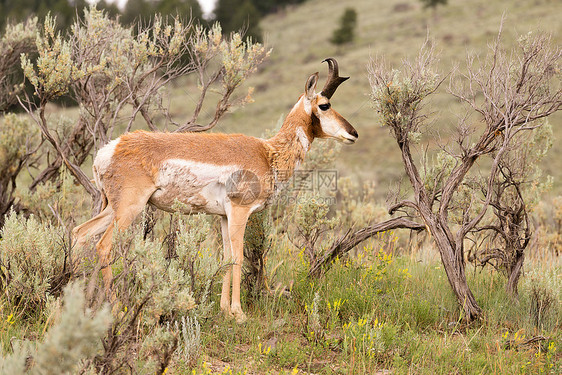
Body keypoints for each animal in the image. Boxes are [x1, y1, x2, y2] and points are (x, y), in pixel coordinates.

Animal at [72, 58, 356, 324]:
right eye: (325, 105)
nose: (353, 133)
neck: (268, 153)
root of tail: (109, 150)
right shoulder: (240, 212)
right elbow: (238, 258)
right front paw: (239, 313)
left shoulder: (223, 217)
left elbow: (226, 258)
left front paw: (225, 311)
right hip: (129, 209)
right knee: (104, 246)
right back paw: (116, 309)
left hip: (113, 209)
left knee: (79, 233)